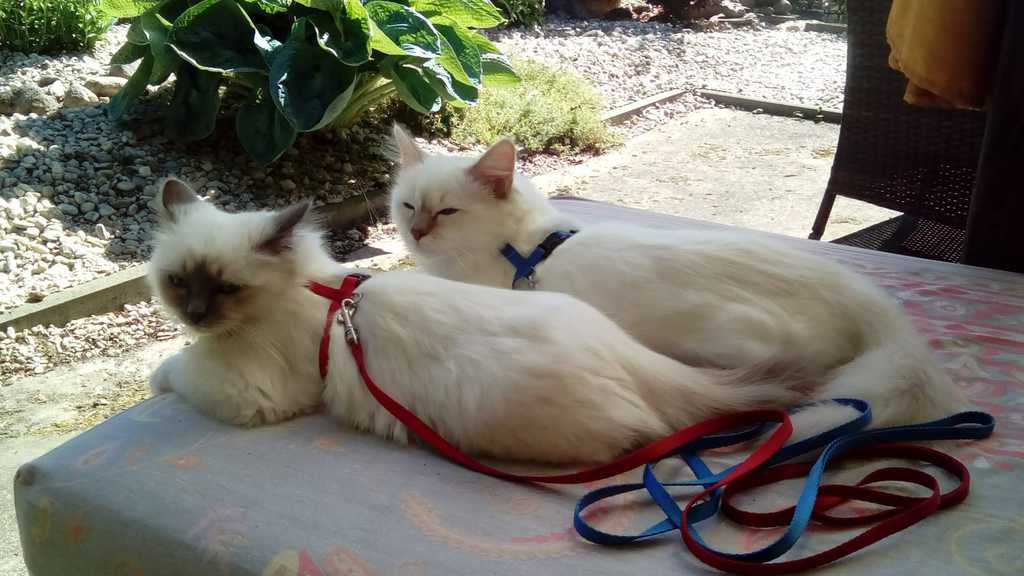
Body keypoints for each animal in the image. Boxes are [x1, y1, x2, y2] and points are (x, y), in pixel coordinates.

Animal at [148, 178, 808, 463]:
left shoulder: (247, 388)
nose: (196, 314)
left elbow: (178, 369)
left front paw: (160, 375)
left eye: (226, 288)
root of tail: (627, 355)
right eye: (178, 281)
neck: (320, 289)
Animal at [388, 126, 967, 434]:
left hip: (733, 336)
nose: (415, 233)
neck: (525, 248)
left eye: (448, 213)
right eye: (409, 206)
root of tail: (866, 298)